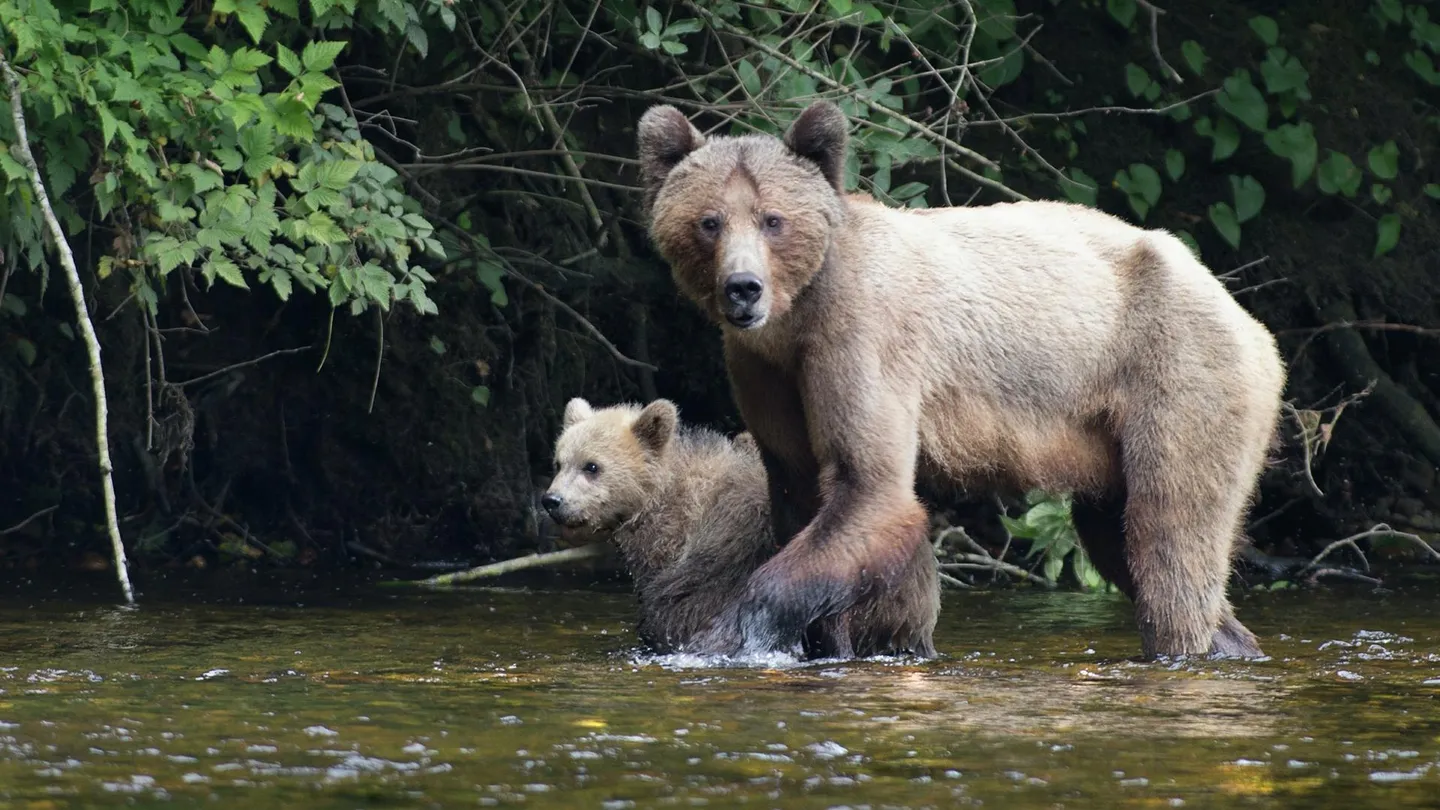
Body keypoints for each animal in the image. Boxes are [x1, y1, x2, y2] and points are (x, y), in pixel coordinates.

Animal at [636, 100, 1290, 660]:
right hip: (1114, 441)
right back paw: (1232, 642)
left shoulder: (859, 337)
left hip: (1180, 373)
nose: (743, 289)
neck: (795, 318)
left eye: (773, 219)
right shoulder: (765, 373)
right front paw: (831, 641)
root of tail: (1250, 319)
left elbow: (870, 486)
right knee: (1117, 539)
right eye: (709, 222)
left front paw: (719, 637)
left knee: (1169, 536)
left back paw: (1184, 641)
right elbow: (806, 498)